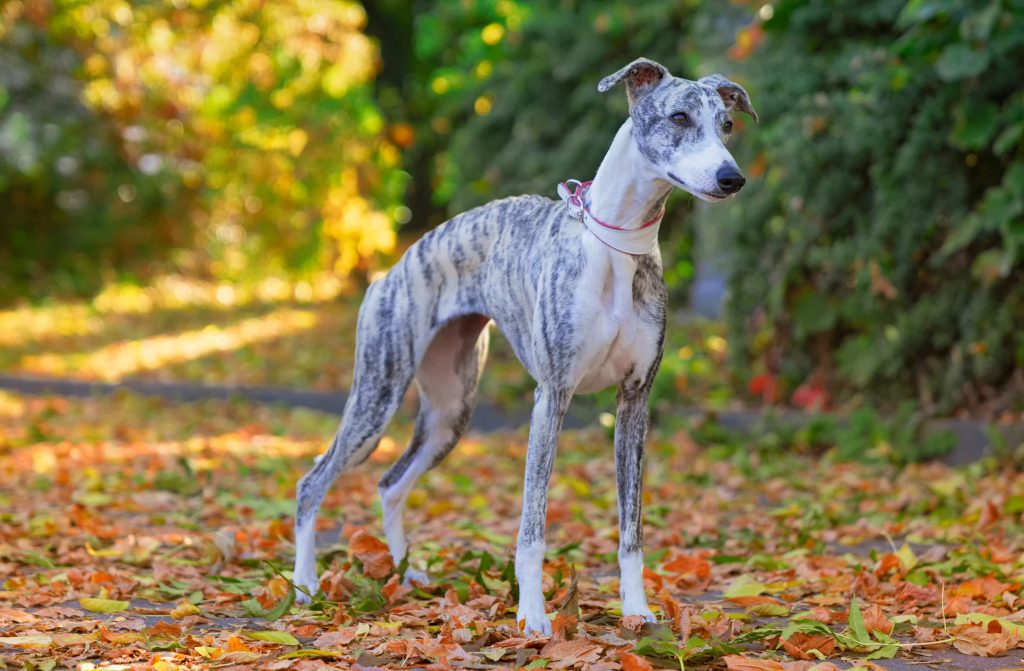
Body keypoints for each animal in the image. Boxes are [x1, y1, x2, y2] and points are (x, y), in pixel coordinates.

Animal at [292, 57, 757, 635]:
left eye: (728, 125)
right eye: (678, 117)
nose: (731, 178)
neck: (615, 247)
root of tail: (399, 263)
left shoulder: (634, 403)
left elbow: (631, 531)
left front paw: (637, 611)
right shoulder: (552, 397)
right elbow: (533, 529)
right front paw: (533, 617)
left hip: (450, 412)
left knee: (390, 483)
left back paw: (403, 575)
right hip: (376, 397)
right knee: (312, 482)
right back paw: (305, 585)